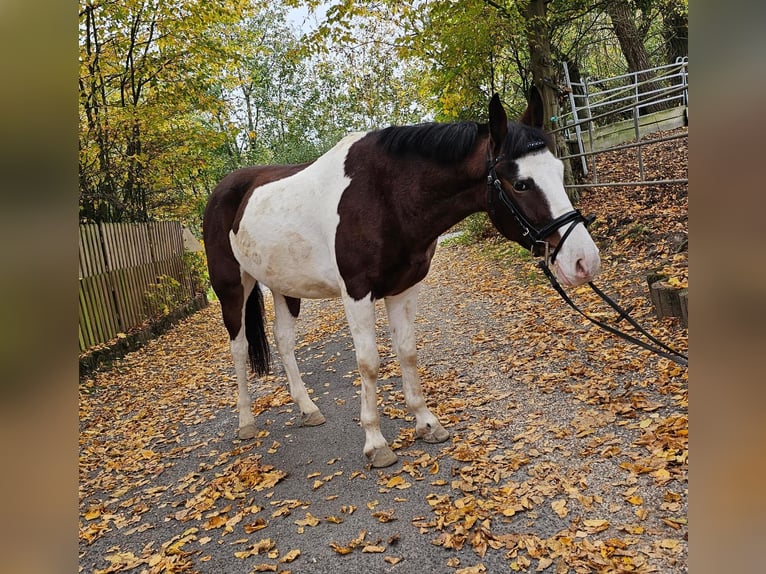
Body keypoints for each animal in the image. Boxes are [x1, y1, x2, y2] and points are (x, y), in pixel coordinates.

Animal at [207, 90, 604, 468]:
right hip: (232, 288)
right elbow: (369, 362)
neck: (385, 195)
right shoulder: (356, 293)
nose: (584, 260)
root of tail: (224, 189)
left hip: (283, 287)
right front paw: (376, 443)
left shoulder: (404, 288)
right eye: (521, 184)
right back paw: (246, 422)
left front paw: (427, 424)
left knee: (284, 342)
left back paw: (308, 409)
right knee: (238, 347)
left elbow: (407, 352)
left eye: (559, 171)